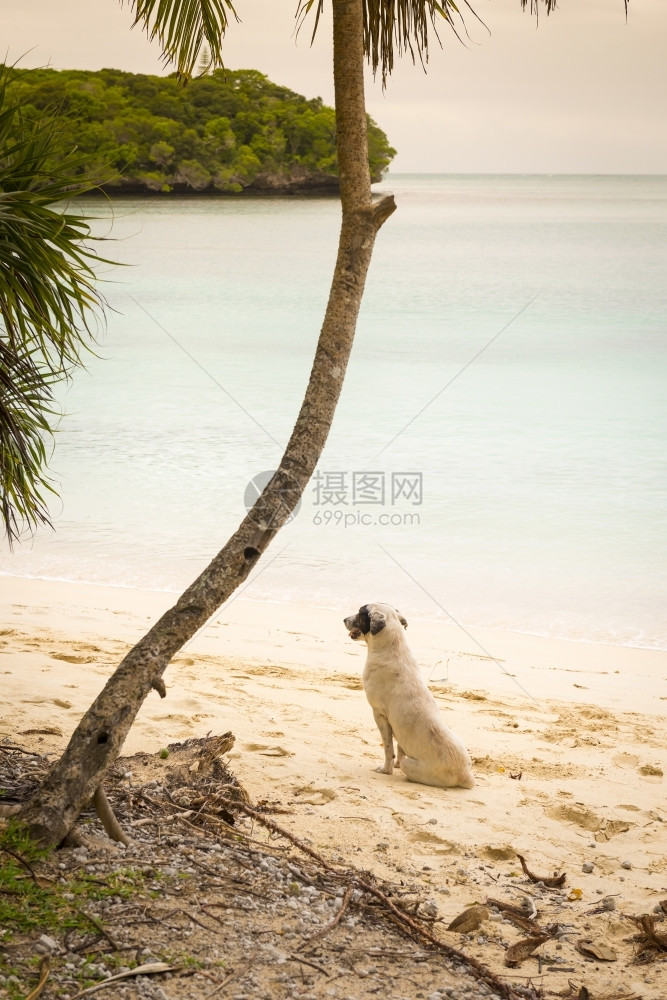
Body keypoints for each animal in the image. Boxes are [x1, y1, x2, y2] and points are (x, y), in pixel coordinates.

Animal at [344, 600, 474, 788]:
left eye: (361, 612)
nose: (344, 619)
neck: (391, 646)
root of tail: (465, 775)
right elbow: (399, 748)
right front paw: (395, 764)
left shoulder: (380, 715)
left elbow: (388, 748)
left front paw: (386, 769)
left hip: (413, 765)